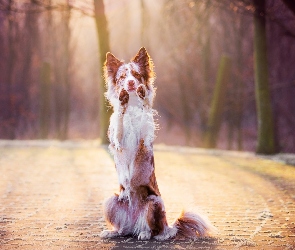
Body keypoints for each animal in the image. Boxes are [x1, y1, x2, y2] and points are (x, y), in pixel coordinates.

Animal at [100, 47, 215, 240]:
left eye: (136, 75)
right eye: (123, 76)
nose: (131, 83)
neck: (132, 105)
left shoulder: (144, 139)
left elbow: (145, 114)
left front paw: (142, 97)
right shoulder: (118, 142)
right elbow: (120, 122)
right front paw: (122, 103)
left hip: (154, 203)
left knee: (155, 230)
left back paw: (147, 234)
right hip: (112, 200)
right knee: (125, 228)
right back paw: (114, 232)